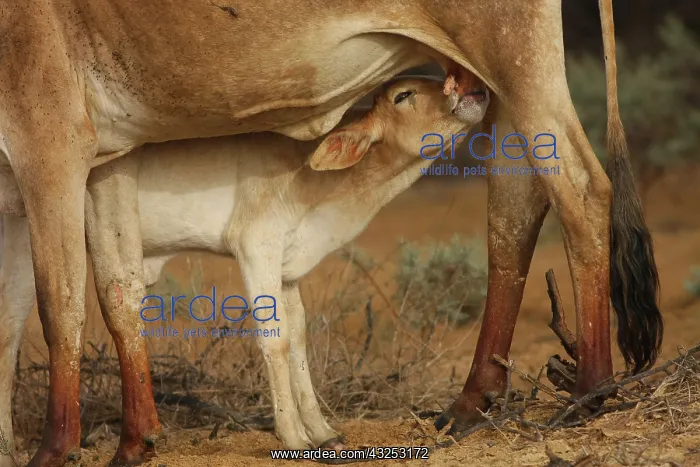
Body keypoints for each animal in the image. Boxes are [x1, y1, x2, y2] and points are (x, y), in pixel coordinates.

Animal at [0, 76, 490, 465]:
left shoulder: (289, 267)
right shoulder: (256, 246)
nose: (474, 92)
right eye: (404, 94)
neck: (314, 180)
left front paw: (323, 432)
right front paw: (293, 436)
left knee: (8, 334)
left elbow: (299, 340)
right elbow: (275, 340)